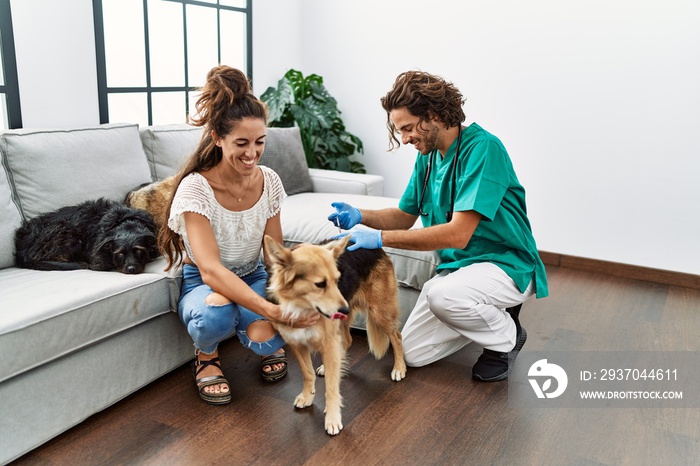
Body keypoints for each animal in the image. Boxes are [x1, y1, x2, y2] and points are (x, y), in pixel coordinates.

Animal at [14, 198, 159, 274]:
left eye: (139, 251)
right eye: (119, 254)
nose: (131, 269)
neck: (123, 220)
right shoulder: (97, 255)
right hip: (66, 231)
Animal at [262, 235, 404, 436]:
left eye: (337, 280)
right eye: (320, 284)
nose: (344, 308)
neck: (302, 307)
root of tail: (377, 247)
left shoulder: (328, 342)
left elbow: (331, 387)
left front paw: (332, 418)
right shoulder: (297, 343)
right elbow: (307, 373)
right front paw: (307, 396)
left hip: (379, 312)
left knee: (397, 337)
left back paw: (399, 368)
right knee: (347, 340)